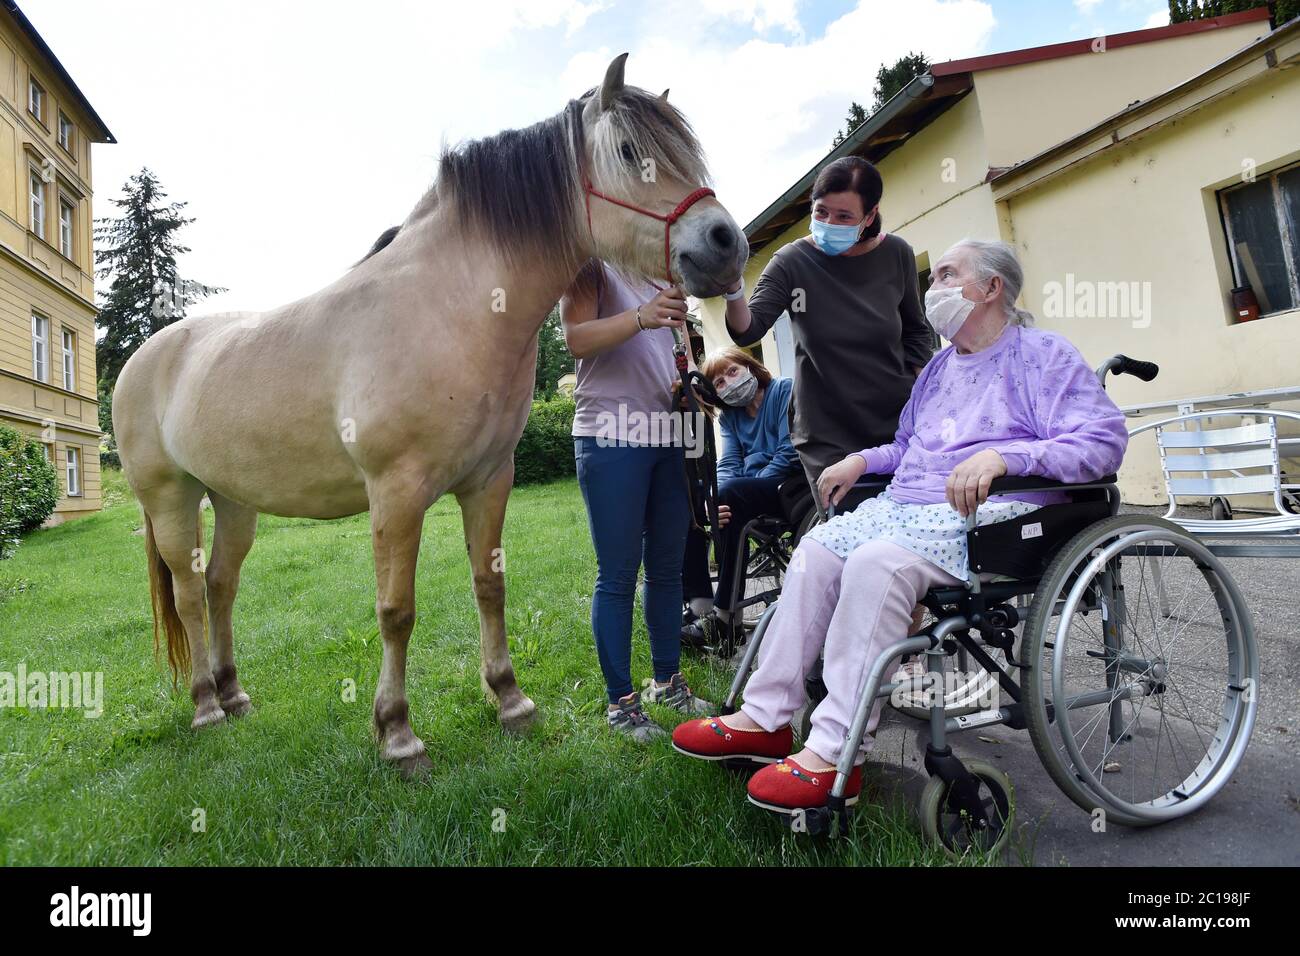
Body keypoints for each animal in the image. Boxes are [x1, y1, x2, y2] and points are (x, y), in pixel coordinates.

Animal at [115, 54, 748, 780]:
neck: (452, 306)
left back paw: (234, 693)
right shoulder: (396, 494)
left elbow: (489, 585)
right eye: (626, 151)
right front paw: (397, 734)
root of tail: (143, 358)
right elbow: (396, 611)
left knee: (220, 586)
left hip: (234, 499)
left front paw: (510, 701)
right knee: (189, 594)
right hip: (171, 499)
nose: (726, 243)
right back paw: (205, 706)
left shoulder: (489, 481)